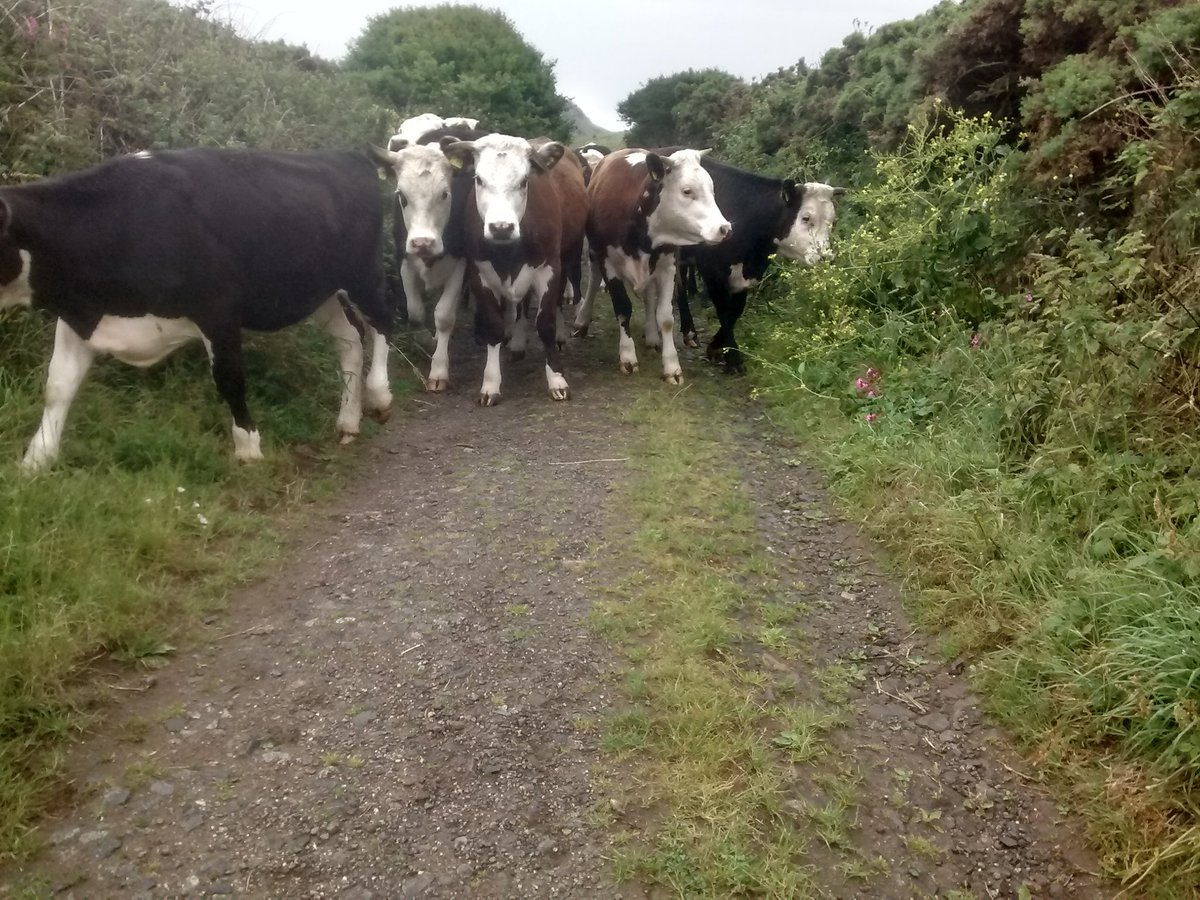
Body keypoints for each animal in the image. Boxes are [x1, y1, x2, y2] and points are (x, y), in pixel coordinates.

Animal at [0, 148, 393, 471]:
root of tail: (348, 154)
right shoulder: (79, 316)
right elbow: (58, 385)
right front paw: (36, 460)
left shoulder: (218, 311)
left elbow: (229, 379)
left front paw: (248, 448)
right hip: (321, 290)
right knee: (349, 339)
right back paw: (348, 421)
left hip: (362, 273)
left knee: (384, 322)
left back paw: (379, 394)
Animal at [442, 133, 587, 405]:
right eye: (478, 179)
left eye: (524, 181)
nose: (501, 227)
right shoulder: (479, 274)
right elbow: (495, 327)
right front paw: (490, 384)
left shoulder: (549, 268)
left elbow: (545, 324)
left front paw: (557, 379)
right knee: (521, 305)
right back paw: (518, 342)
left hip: (568, 254)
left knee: (558, 299)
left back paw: (561, 334)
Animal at [572, 148, 731, 383]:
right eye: (687, 191)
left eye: (712, 189)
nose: (724, 228)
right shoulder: (608, 263)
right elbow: (623, 308)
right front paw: (628, 357)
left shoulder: (668, 267)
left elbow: (665, 317)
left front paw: (672, 366)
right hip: (593, 253)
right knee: (593, 281)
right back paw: (582, 320)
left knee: (649, 297)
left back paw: (652, 335)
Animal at [674, 158, 844, 372]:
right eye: (806, 218)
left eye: (832, 221)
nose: (826, 257)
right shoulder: (712, 271)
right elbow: (724, 310)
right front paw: (733, 359)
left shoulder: (746, 275)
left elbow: (735, 310)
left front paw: (716, 348)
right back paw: (689, 331)